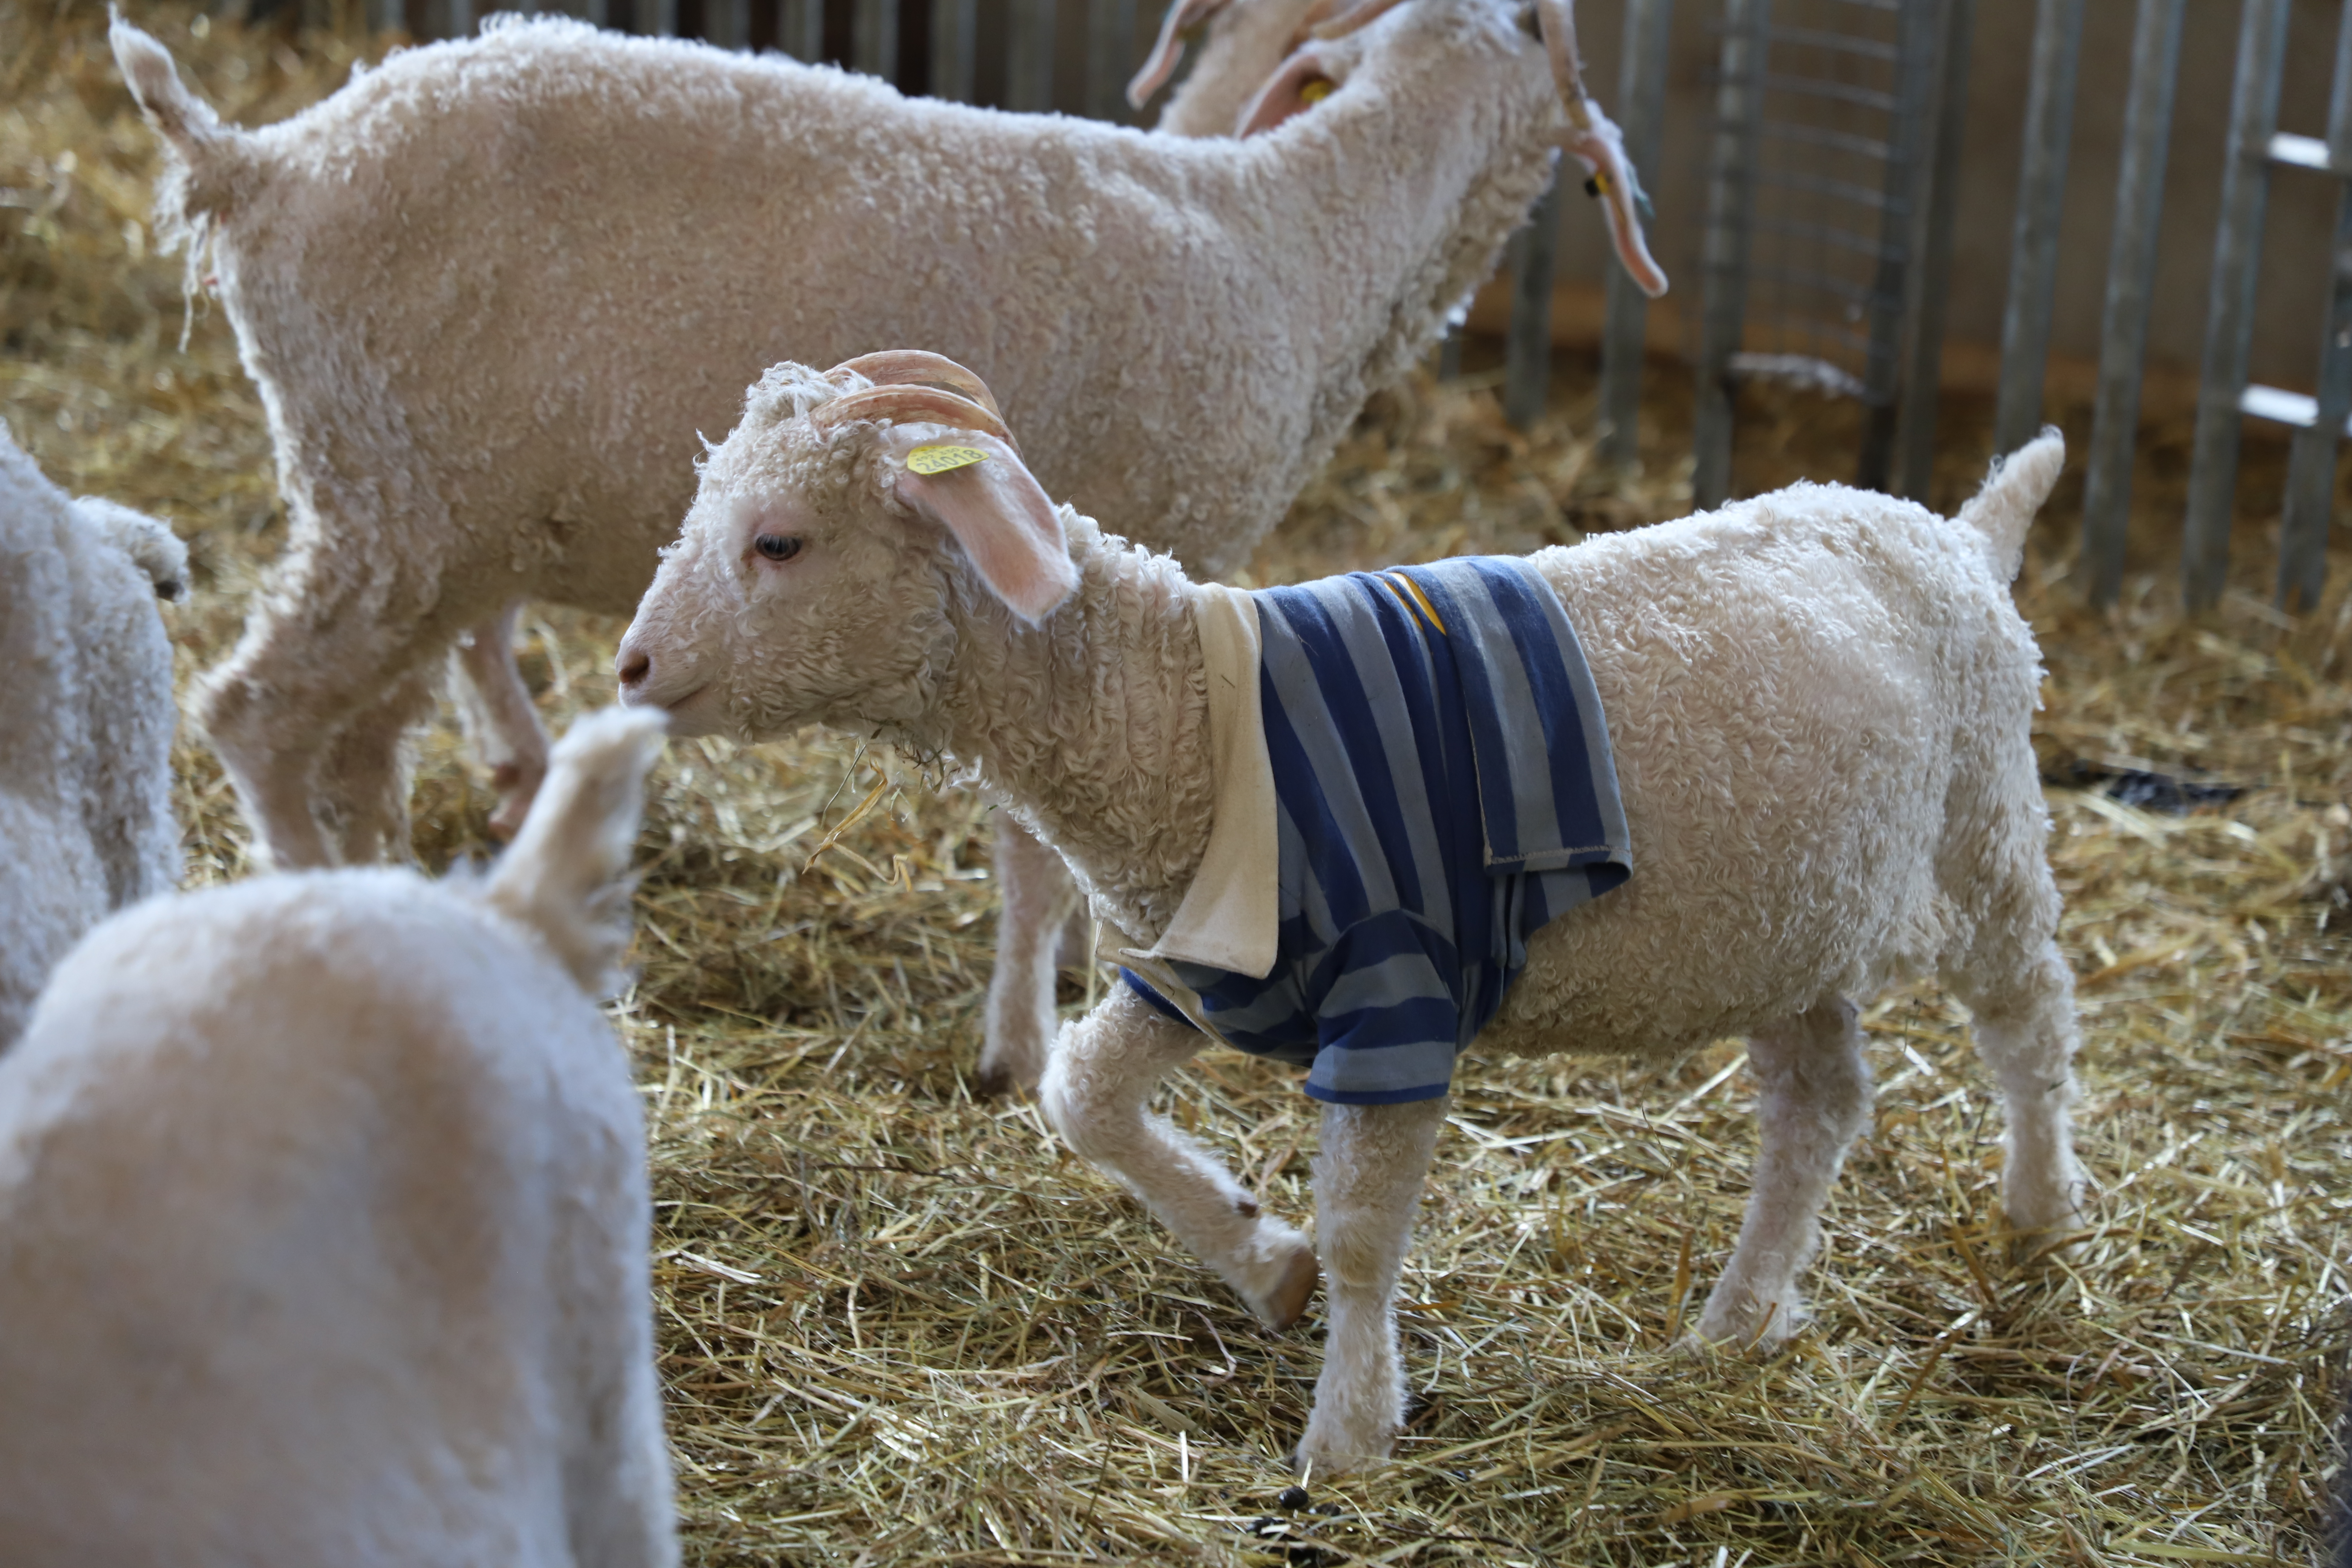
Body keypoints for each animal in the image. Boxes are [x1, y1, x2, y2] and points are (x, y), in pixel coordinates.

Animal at [106, 0, 1655, 1100]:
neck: (1295, 240)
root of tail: (260, 165)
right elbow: (1034, 847)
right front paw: (1022, 1043)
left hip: (422, 520)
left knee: (364, 740)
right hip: (390, 502)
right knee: (254, 714)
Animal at [616, 364, 2089, 1476]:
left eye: (780, 541)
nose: (631, 668)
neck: (1180, 718)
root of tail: (1956, 533)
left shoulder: (1397, 994)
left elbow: (1366, 1234)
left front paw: (1347, 1437)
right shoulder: (1195, 961)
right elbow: (1084, 1097)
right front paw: (1259, 1264)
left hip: (1982, 838)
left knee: (2030, 1023)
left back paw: (2039, 1215)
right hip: (1788, 925)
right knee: (1820, 1105)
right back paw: (1734, 1320)